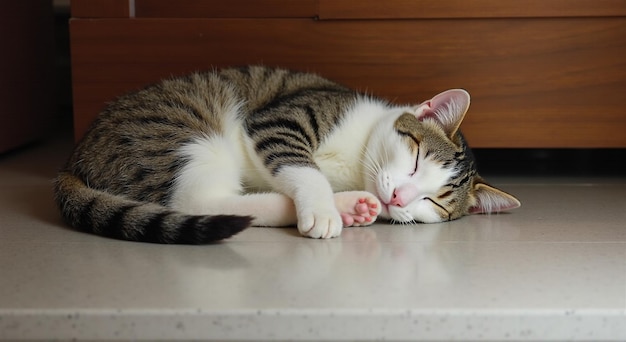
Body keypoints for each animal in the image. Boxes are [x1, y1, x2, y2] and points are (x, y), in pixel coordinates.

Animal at [56, 65, 520, 243]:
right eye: (417, 159)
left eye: (433, 202)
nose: (398, 198)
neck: (356, 164)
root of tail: (77, 154)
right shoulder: (283, 120)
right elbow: (304, 167)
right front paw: (321, 206)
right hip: (187, 133)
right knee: (196, 201)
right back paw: (331, 208)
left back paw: (350, 206)